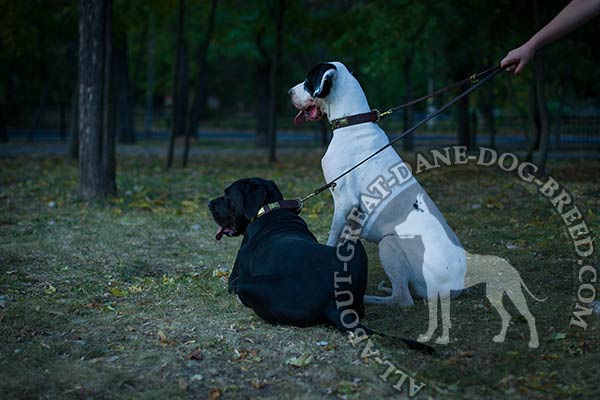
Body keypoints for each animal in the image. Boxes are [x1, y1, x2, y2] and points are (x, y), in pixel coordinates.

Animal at [209, 180, 428, 352]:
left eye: (227, 195)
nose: (209, 203)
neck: (270, 209)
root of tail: (334, 303)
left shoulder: (235, 278)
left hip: (248, 284)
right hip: (353, 245)